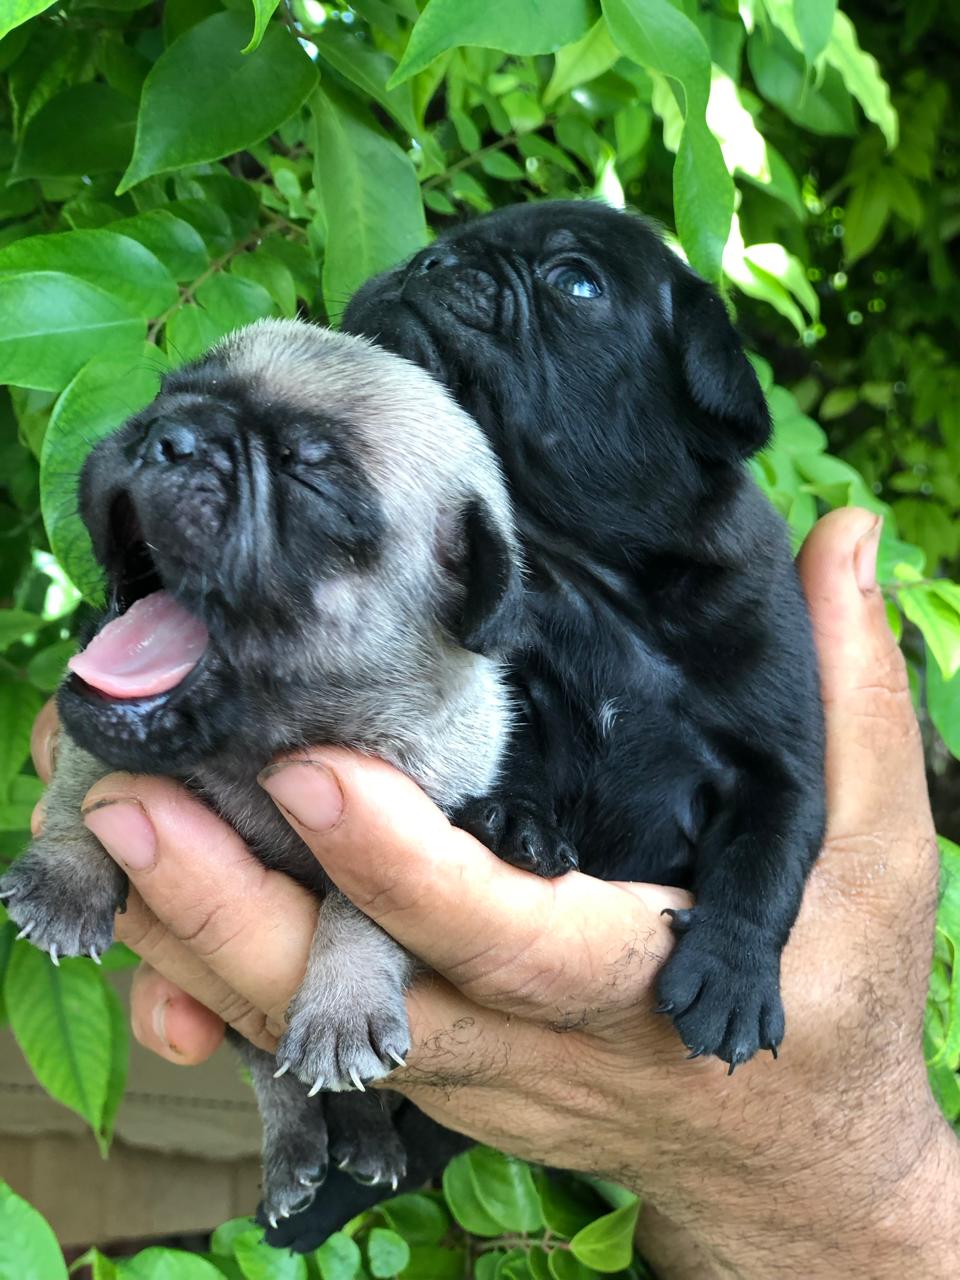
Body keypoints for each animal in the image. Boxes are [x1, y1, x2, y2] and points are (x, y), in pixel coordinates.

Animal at [345, 197, 829, 1059]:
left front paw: (733, 977)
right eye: (444, 244)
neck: (578, 572)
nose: (428, 259)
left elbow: (763, 859)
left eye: (576, 283)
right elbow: (510, 749)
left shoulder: (779, 766)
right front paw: (513, 820)